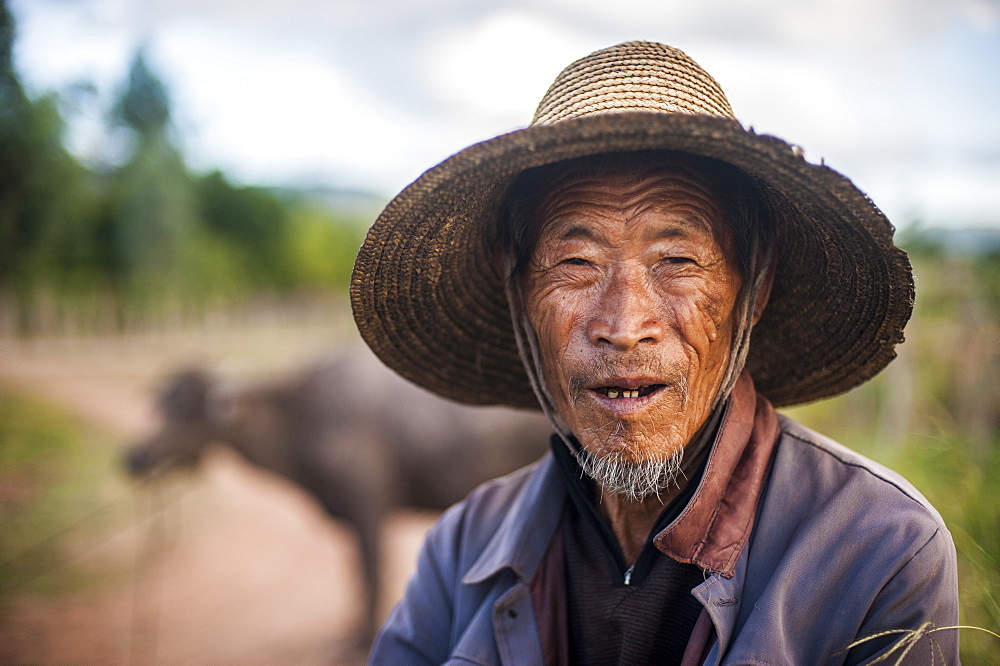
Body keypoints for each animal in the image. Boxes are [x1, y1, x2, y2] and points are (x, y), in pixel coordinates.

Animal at [123, 348, 556, 644]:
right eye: (161, 405)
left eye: (187, 411)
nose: (133, 457)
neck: (301, 419)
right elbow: (356, 572)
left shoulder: (367, 509)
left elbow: (369, 571)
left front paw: (361, 638)